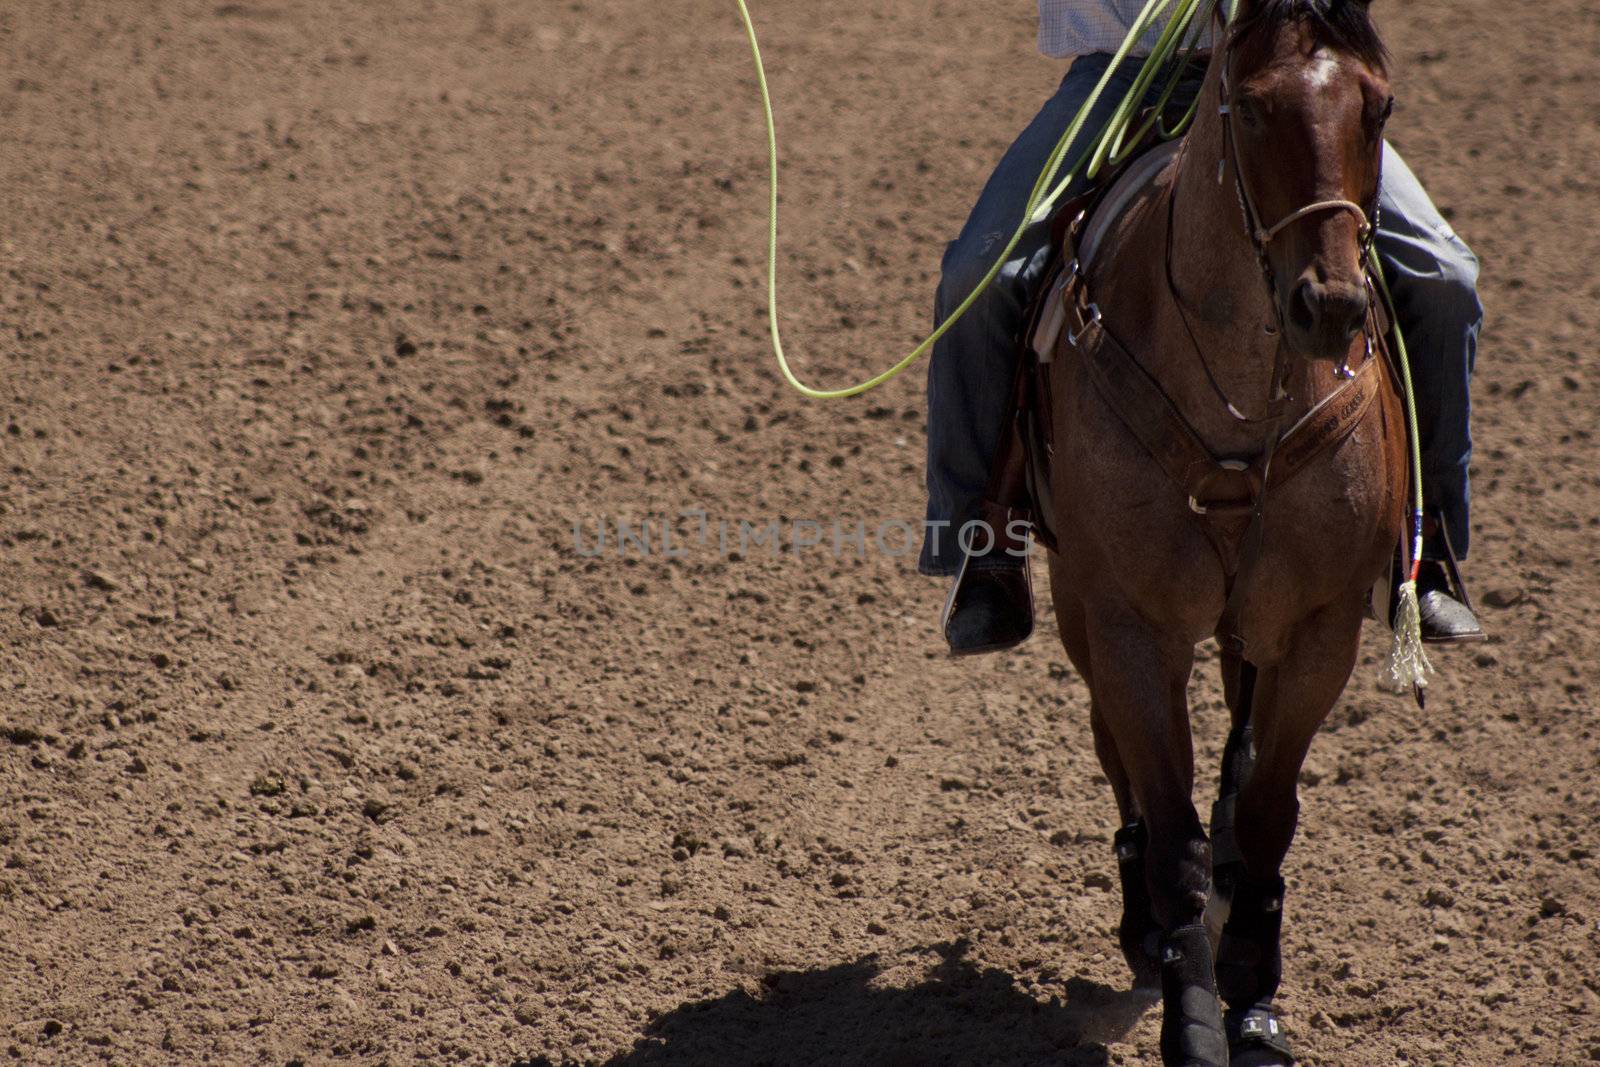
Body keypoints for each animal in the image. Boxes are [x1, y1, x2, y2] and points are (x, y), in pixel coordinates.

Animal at [1043, 2, 1408, 1067]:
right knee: (1116, 756)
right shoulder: (1129, 625)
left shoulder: (1322, 627)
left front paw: (1256, 1001)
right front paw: (1195, 1018)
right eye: (1249, 109)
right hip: (1081, 609)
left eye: (1378, 105)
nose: (1330, 305)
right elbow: (1173, 837)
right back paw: (1144, 927)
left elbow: (1269, 810)